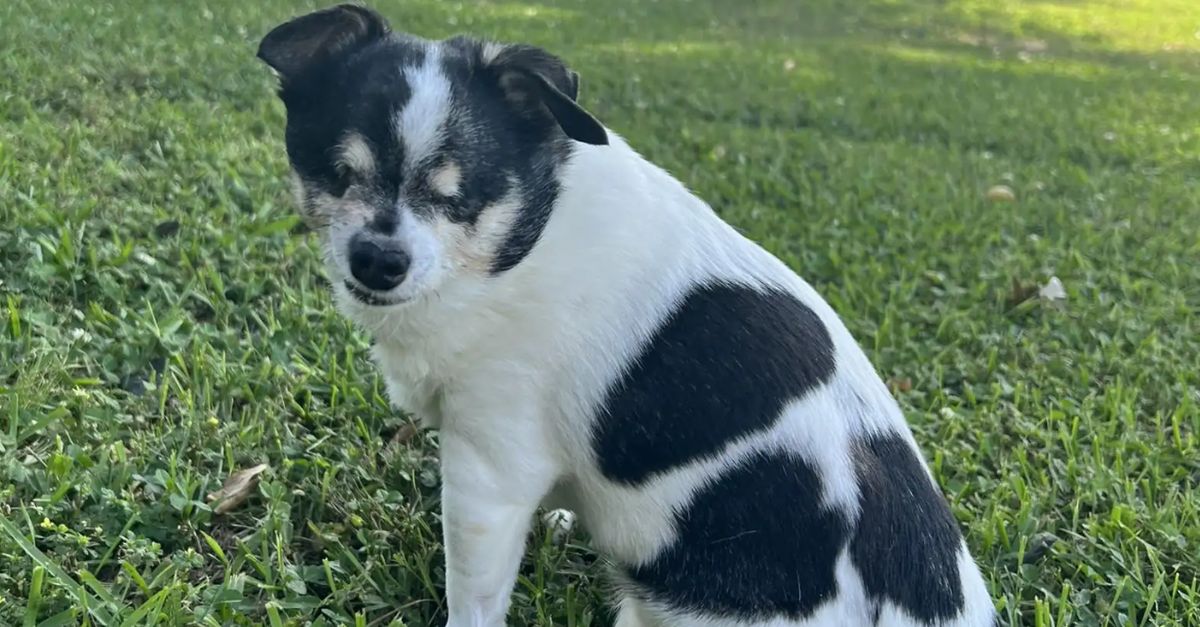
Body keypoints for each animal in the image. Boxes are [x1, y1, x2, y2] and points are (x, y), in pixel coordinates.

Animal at [253, 6, 993, 624]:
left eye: (458, 198)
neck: (520, 243)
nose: (379, 259)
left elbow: (476, 595)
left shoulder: (488, 471)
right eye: (338, 174)